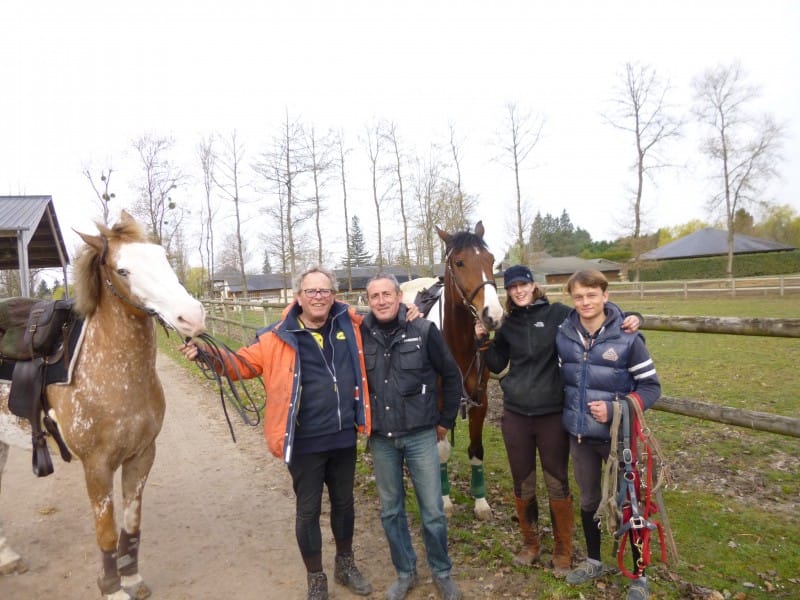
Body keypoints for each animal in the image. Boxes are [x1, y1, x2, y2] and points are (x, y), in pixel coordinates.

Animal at [1, 212, 206, 600]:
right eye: (123, 270)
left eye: (162, 256)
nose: (192, 317)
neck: (114, 372)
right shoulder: (96, 466)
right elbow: (107, 532)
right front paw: (111, 587)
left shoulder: (142, 456)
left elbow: (131, 523)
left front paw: (132, 577)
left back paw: (6, 557)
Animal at [404, 221, 504, 520]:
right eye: (459, 262)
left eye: (491, 260)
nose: (493, 315)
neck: (457, 345)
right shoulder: (436, 404)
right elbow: (441, 451)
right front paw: (444, 499)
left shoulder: (480, 401)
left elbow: (476, 450)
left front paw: (481, 503)